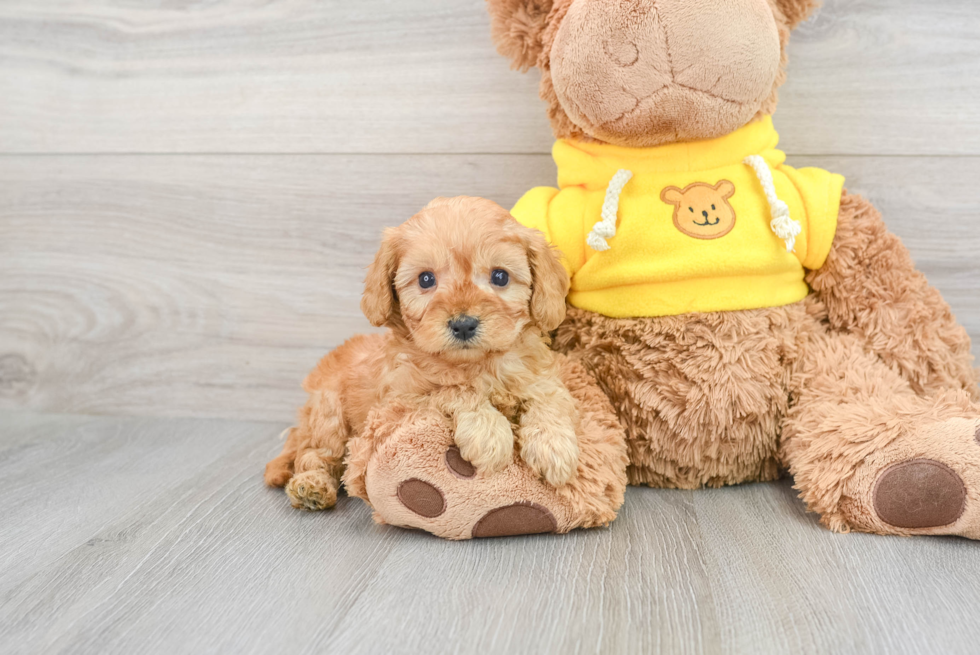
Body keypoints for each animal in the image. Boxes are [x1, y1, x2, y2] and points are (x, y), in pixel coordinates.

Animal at [264, 196, 580, 512]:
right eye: (426, 279)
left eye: (500, 276)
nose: (463, 324)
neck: (478, 363)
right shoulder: (401, 398)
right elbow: (452, 389)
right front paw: (488, 432)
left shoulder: (537, 374)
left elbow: (550, 396)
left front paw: (554, 446)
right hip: (329, 413)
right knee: (314, 452)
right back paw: (311, 486)